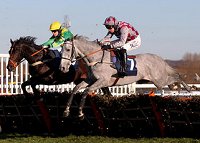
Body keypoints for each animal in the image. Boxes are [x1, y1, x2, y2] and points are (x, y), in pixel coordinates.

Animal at [59, 35, 191, 117]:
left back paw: (187, 88)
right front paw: (66, 111)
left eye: (68, 49)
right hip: (156, 81)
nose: (62, 68)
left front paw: (80, 113)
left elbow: (86, 92)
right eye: (61, 50)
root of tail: (159, 58)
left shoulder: (103, 81)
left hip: (159, 80)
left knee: (177, 76)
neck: (96, 58)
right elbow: (75, 89)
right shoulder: (91, 79)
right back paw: (178, 87)